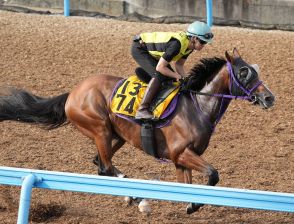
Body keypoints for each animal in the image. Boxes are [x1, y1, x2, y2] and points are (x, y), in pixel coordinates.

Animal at [0, 48, 276, 214]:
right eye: (243, 72)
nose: (269, 98)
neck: (198, 105)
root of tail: (73, 93)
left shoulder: (182, 159)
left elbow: (187, 184)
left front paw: (191, 203)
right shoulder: (180, 153)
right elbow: (212, 174)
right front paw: (193, 206)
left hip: (117, 135)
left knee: (99, 163)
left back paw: (131, 193)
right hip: (100, 128)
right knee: (104, 166)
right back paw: (136, 197)